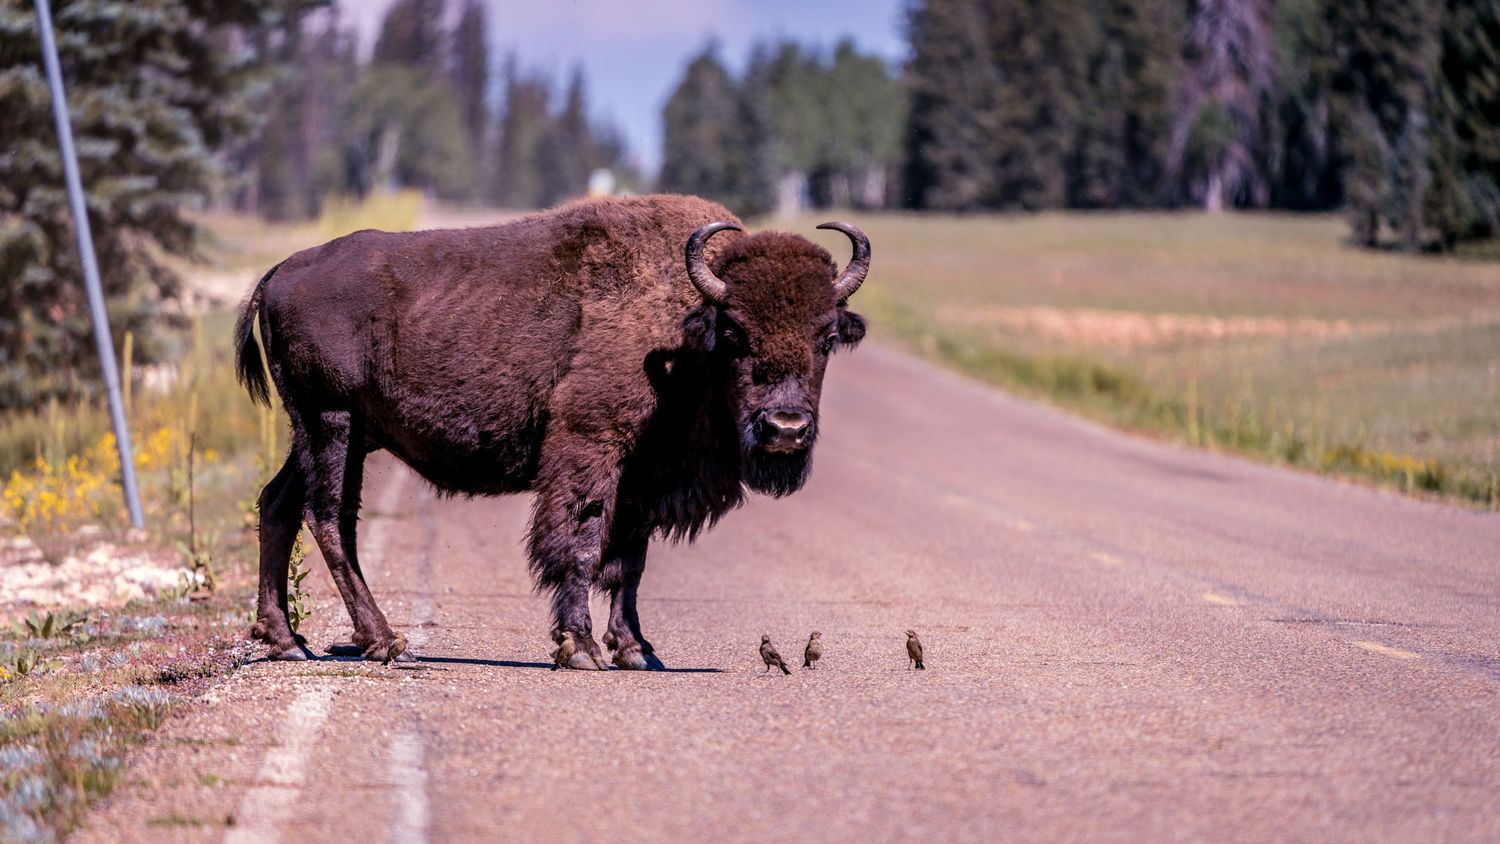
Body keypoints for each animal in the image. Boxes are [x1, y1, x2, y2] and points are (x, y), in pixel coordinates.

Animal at [235, 194, 869, 669]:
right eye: (736, 334)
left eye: (827, 337)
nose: (785, 428)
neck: (686, 325)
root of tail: (279, 273)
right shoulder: (592, 447)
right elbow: (582, 542)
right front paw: (581, 646)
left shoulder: (645, 476)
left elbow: (629, 562)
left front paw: (636, 650)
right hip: (333, 423)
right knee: (329, 517)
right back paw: (386, 643)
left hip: (330, 432)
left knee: (278, 503)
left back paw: (287, 641)